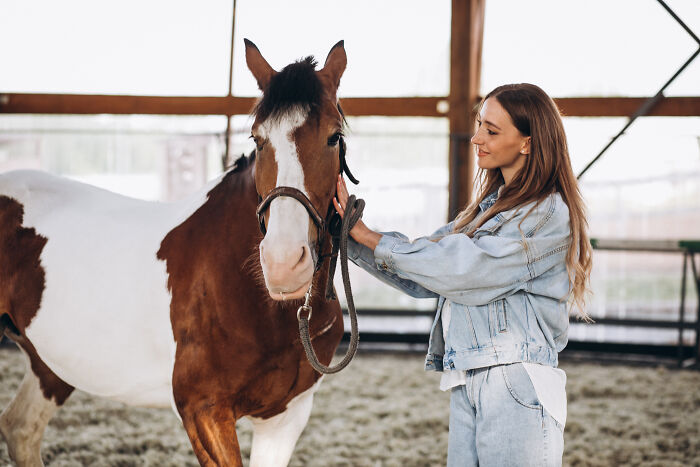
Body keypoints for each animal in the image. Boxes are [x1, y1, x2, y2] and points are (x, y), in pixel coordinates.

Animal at [0, 39, 352, 466]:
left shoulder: (286, 417)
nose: (283, 263)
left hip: (50, 364)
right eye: (257, 138)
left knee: (21, 429)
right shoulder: (203, 412)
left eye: (333, 137)